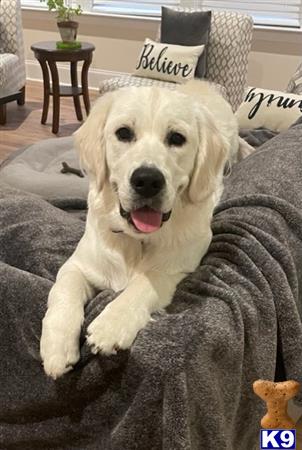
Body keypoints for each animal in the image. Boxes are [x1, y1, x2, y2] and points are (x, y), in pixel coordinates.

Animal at [40, 81, 239, 380]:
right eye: (123, 133)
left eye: (177, 138)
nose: (147, 180)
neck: (136, 240)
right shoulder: (79, 263)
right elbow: (64, 289)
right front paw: (56, 346)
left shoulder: (176, 268)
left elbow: (144, 283)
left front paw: (112, 324)